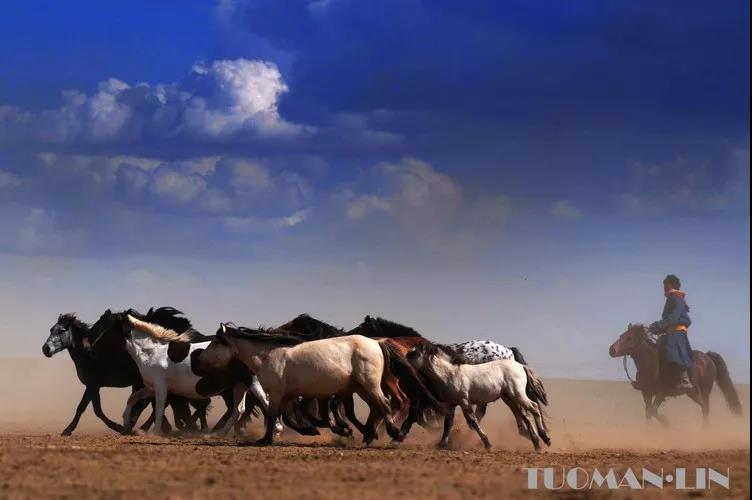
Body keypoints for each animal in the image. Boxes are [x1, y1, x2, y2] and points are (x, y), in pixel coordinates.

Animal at [200, 324, 406, 446]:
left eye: (216, 342)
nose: (201, 359)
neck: (267, 356)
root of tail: (376, 343)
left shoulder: (276, 392)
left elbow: (274, 415)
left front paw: (265, 440)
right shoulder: (288, 394)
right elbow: (288, 417)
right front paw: (316, 429)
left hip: (369, 384)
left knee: (384, 405)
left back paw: (395, 434)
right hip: (360, 387)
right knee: (377, 407)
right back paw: (370, 435)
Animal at [408, 342, 548, 452]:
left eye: (415, 352)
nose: (406, 357)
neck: (452, 374)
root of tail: (521, 366)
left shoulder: (464, 401)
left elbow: (472, 421)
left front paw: (488, 444)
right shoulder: (451, 404)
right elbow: (448, 423)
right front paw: (441, 444)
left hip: (517, 394)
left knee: (534, 407)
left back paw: (544, 439)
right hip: (510, 397)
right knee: (525, 415)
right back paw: (537, 442)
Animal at [608, 324, 744, 426]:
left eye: (629, 338)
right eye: (621, 335)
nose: (611, 350)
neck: (651, 364)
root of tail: (707, 357)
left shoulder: (662, 392)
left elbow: (653, 410)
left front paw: (666, 422)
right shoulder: (646, 393)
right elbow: (648, 412)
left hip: (705, 389)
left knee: (706, 408)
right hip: (692, 392)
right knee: (703, 407)